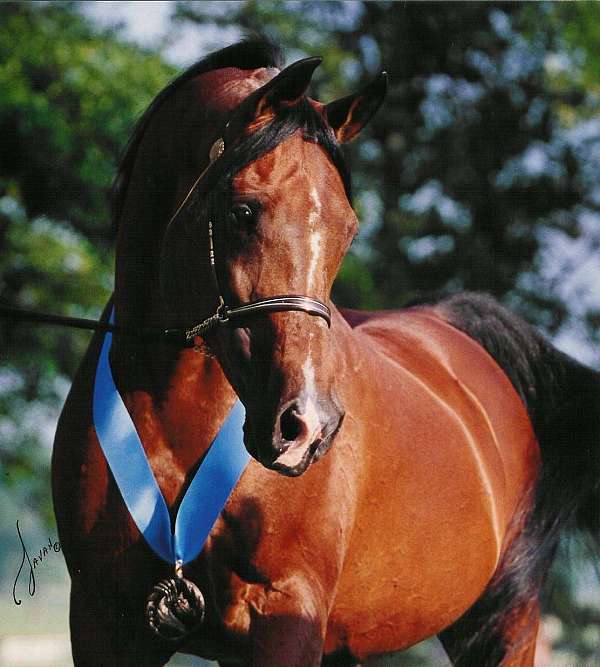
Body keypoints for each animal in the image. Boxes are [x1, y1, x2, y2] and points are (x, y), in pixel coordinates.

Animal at [52, 39, 600, 667]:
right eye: (242, 211)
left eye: (348, 228)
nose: (307, 426)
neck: (174, 415)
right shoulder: (103, 622)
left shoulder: (285, 615)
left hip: (505, 624)